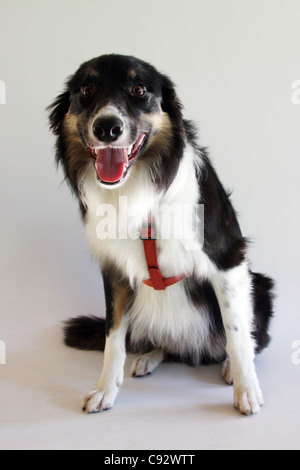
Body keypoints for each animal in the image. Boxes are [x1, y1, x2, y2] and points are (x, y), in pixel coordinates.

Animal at [47, 54, 274, 414]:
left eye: (139, 89)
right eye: (86, 89)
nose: (107, 128)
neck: (137, 192)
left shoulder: (228, 259)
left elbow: (237, 333)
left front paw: (246, 390)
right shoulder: (114, 271)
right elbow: (113, 337)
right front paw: (105, 390)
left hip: (261, 286)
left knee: (247, 337)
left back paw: (227, 367)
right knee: (161, 342)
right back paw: (150, 357)